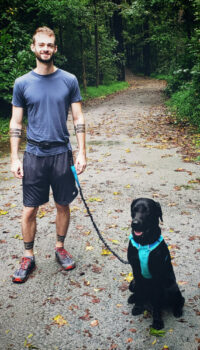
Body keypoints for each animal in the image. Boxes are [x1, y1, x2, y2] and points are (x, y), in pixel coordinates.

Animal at [127, 198, 185, 330]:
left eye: (147, 211)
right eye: (134, 210)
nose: (135, 223)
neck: (144, 243)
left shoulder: (157, 278)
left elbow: (157, 304)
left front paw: (157, 321)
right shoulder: (136, 271)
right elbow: (139, 292)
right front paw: (138, 306)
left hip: (171, 287)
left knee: (180, 300)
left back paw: (177, 310)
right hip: (132, 283)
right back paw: (133, 298)